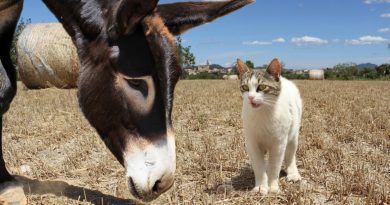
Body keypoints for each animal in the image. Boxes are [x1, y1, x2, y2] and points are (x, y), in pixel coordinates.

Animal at [236, 58, 304, 195]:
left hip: (293, 136)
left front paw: (272, 186)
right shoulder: (252, 143)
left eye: (262, 87)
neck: (262, 113)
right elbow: (259, 166)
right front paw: (261, 187)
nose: (250, 97)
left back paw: (293, 173)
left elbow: (274, 166)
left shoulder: (279, 144)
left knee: (290, 156)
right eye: (245, 87)